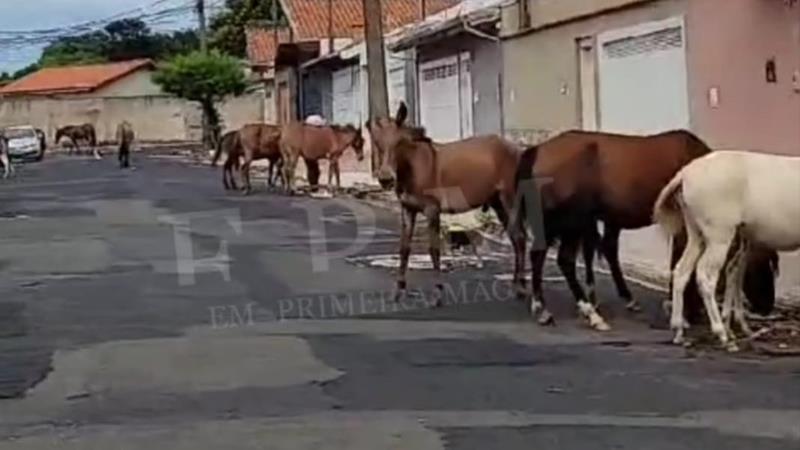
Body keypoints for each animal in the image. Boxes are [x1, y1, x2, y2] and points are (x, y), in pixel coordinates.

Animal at [368, 102, 528, 306]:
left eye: (399, 143)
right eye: (378, 144)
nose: (386, 179)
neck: (413, 168)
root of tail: (517, 149)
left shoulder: (432, 210)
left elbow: (434, 249)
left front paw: (437, 293)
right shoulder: (408, 209)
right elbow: (404, 249)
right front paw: (399, 291)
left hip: (510, 198)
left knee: (520, 237)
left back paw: (521, 287)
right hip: (497, 202)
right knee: (515, 238)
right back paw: (517, 285)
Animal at [510, 130, 780, 330]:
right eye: (762, 265)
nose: (766, 307)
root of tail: (537, 150)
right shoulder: (684, 228)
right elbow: (678, 264)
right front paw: (685, 312)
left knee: (541, 254)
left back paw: (545, 307)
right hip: (571, 221)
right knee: (563, 259)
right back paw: (587, 312)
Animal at [652, 149, 796, 350]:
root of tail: (684, 175)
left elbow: (735, 275)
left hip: (697, 234)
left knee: (682, 271)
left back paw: (679, 330)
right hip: (718, 236)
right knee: (706, 276)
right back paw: (721, 333)